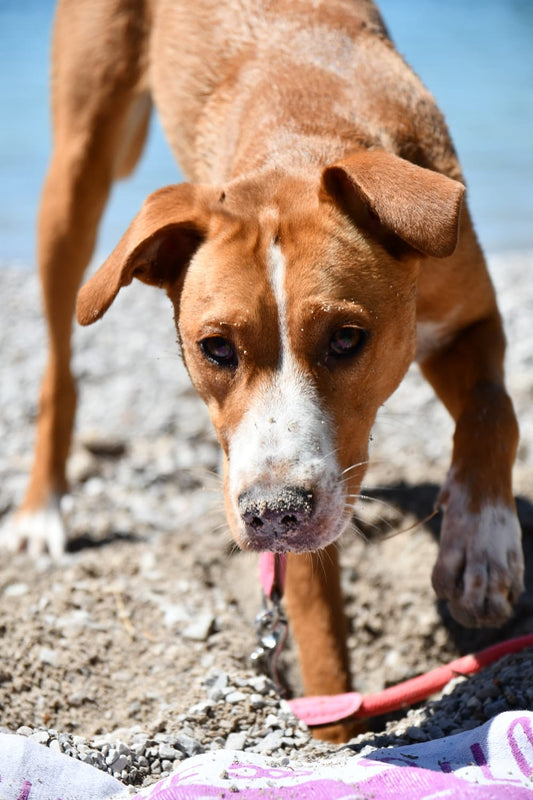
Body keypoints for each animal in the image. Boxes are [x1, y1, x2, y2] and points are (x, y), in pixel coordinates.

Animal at [10, 0, 520, 740]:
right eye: (216, 348)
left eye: (347, 339)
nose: (272, 513)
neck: (299, 134)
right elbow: (320, 636)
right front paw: (336, 734)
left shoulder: (468, 320)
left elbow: (493, 412)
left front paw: (480, 545)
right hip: (76, 165)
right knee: (57, 365)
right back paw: (38, 512)